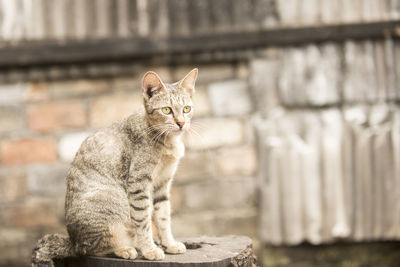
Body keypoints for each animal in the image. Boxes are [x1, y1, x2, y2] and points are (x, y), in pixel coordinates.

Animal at [31, 68, 198, 266]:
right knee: (92, 248)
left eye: (187, 109)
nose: (181, 123)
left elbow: (163, 218)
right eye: (167, 110)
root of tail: (72, 240)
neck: (166, 141)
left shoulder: (162, 185)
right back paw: (125, 249)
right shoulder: (138, 184)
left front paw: (169, 244)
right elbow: (144, 222)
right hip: (111, 208)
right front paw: (149, 249)